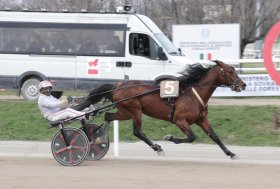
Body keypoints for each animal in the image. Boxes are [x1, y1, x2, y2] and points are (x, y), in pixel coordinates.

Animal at [74, 60, 245, 158]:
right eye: (230, 71)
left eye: (234, 70)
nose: (242, 84)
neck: (192, 94)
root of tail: (118, 86)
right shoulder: (179, 120)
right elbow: (191, 137)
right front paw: (169, 138)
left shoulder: (201, 119)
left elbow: (214, 136)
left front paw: (230, 153)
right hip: (133, 110)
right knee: (137, 131)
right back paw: (157, 147)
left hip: (126, 112)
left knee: (108, 116)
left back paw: (99, 138)